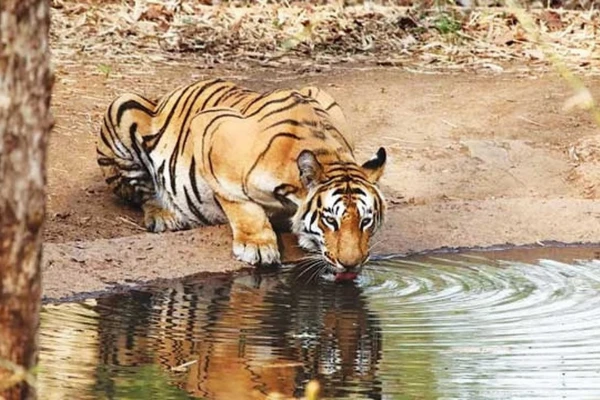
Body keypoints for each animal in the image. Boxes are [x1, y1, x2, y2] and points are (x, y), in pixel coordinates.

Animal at [95, 77, 384, 278]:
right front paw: (258, 246)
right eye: (330, 220)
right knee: (141, 192)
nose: (351, 264)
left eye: (366, 221)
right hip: (123, 107)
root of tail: (162, 97)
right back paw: (164, 216)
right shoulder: (211, 130)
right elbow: (241, 205)